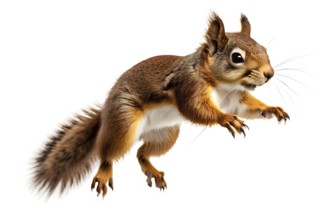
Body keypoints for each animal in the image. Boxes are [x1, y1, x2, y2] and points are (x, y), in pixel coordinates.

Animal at [31, 12, 288, 198]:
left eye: (264, 49)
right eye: (237, 57)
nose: (270, 74)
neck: (222, 85)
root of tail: (105, 113)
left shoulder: (234, 98)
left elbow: (247, 107)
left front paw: (271, 109)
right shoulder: (188, 87)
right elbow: (196, 109)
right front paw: (226, 119)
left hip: (165, 135)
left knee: (141, 153)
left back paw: (152, 170)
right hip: (124, 122)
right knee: (108, 152)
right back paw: (104, 172)